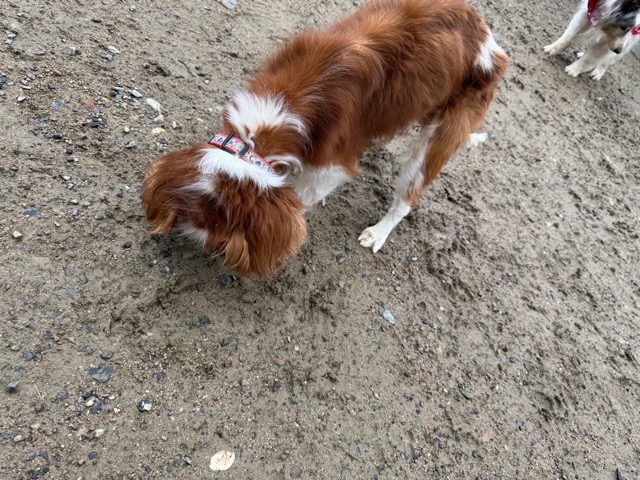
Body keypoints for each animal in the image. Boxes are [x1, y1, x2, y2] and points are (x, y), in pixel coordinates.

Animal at [141, 0, 508, 277]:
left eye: (219, 233)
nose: (201, 245)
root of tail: (490, 42)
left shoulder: (333, 163)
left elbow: (305, 193)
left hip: (439, 137)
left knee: (407, 198)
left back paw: (378, 232)